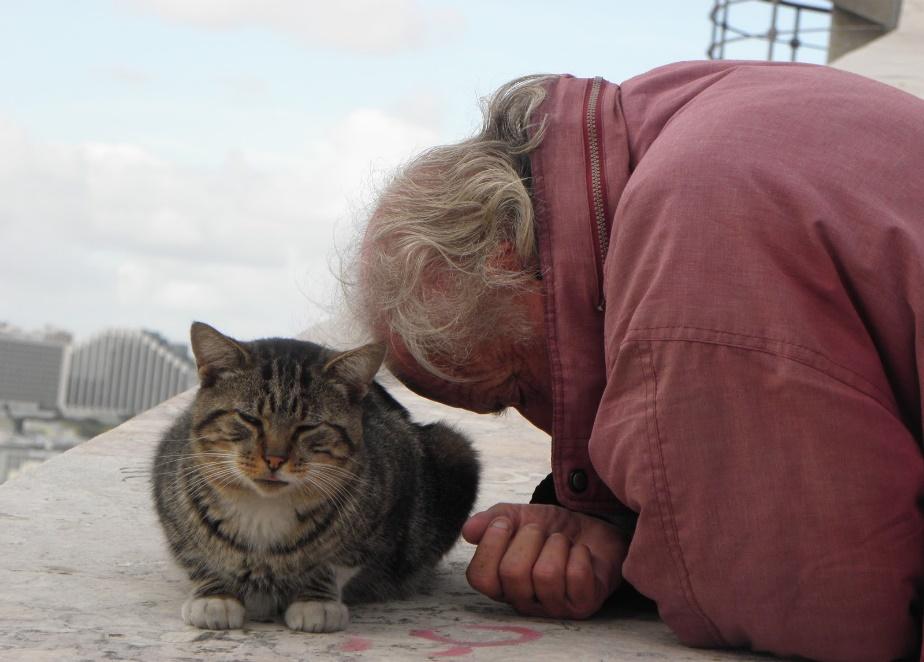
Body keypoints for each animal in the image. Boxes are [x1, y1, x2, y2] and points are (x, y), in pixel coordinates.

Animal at [152, 324, 480, 636]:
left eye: (307, 427)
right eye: (250, 419)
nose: (274, 459)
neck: (264, 510)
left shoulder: (384, 515)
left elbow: (334, 563)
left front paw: (315, 600)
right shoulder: (170, 502)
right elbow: (196, 556)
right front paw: (215, 596)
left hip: (454, 451)